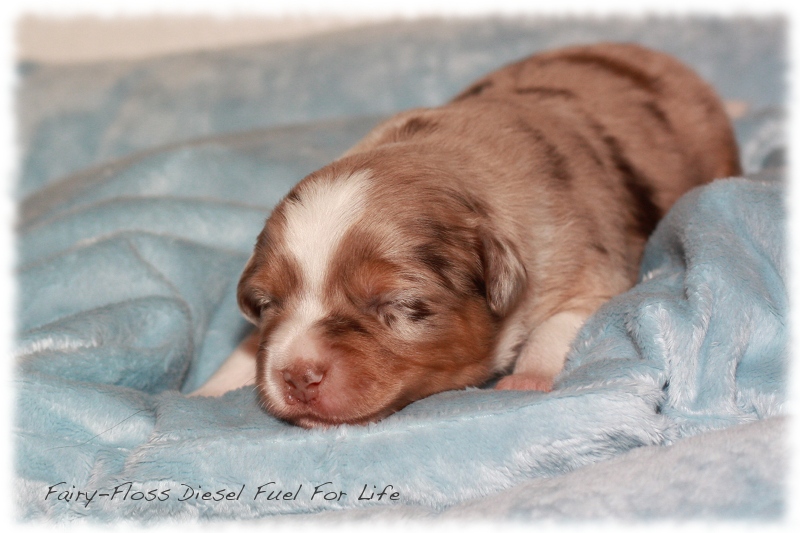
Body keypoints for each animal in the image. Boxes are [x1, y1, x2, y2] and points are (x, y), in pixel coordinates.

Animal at [191, 42, 740, 428]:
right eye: (266, 303)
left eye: (402, 307)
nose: (297, 375)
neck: (447, 161)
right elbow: (248, 347)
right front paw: (207, 391)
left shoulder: (588, 266)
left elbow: (558, 325)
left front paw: (527, 380)